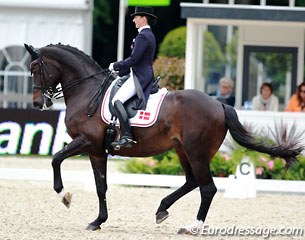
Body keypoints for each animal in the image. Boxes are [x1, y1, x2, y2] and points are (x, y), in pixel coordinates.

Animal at [24, 43, 302, 234]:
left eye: (35, 69)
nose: (38, 103)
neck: (87, 91)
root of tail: (219, 104)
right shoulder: (97, 151)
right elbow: (100, 186)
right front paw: (97, 222)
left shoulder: (86, 142)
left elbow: (56, 159)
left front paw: (64, 196)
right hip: (182, 150)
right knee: (191, 182)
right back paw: (162, 209)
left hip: (197, 152)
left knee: (207, 188)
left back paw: (193, 226)